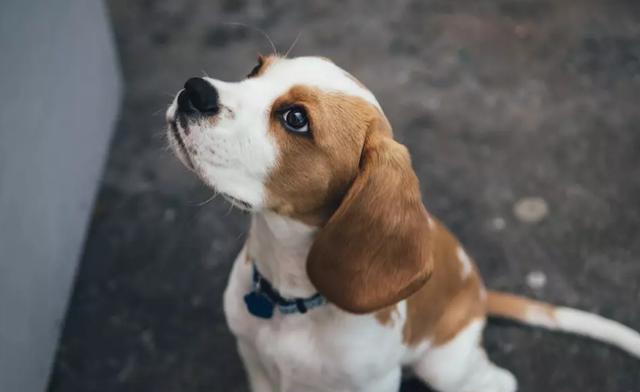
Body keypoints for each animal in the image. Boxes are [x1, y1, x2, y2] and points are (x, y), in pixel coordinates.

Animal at [166, 55, 640, 392]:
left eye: (295, 119)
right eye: (255, 69)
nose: (194, 89)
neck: (290, 298)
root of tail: (481, 294)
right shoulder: (256, 365)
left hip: (444, 367)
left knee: (500, 382)